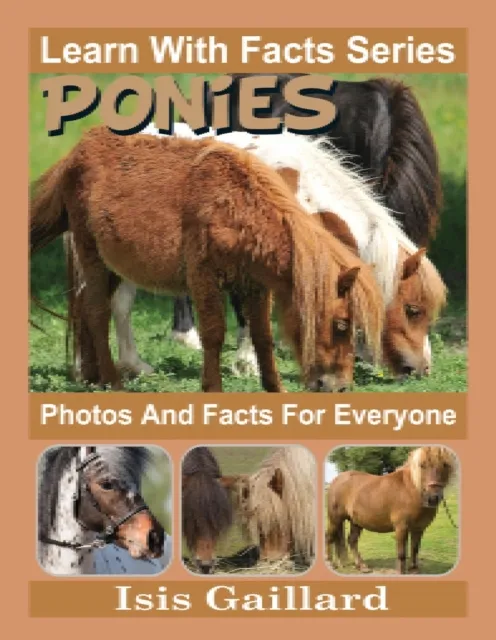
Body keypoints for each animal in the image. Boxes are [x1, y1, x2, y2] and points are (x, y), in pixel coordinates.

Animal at [30, 126, 384, 392]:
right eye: (341, 324)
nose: (339, 387)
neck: (238, 208)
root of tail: (79, 151)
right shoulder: (204, 278)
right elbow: (213, 334)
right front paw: (212, 388)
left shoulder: (255, 286)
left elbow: (262, 337)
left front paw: (274, 388)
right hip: (92, 255)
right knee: (96, 311)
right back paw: (112, 380)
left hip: (114, 264)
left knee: (87, 309)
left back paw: (92, 376)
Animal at [326, 446, 457, 575]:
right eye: (422, 465)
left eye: (445, 465)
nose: (433, 498)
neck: (411, 491)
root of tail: (336, 480)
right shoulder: (401, 527)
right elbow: (402, 553)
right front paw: (401, 572)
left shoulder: (419, 528)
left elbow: (415, 549)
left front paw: (414, 570)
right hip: (335, 519)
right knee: (329, 537)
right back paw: (330, 563)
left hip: (356, 522)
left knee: (352, 541)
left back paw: (362, 566)